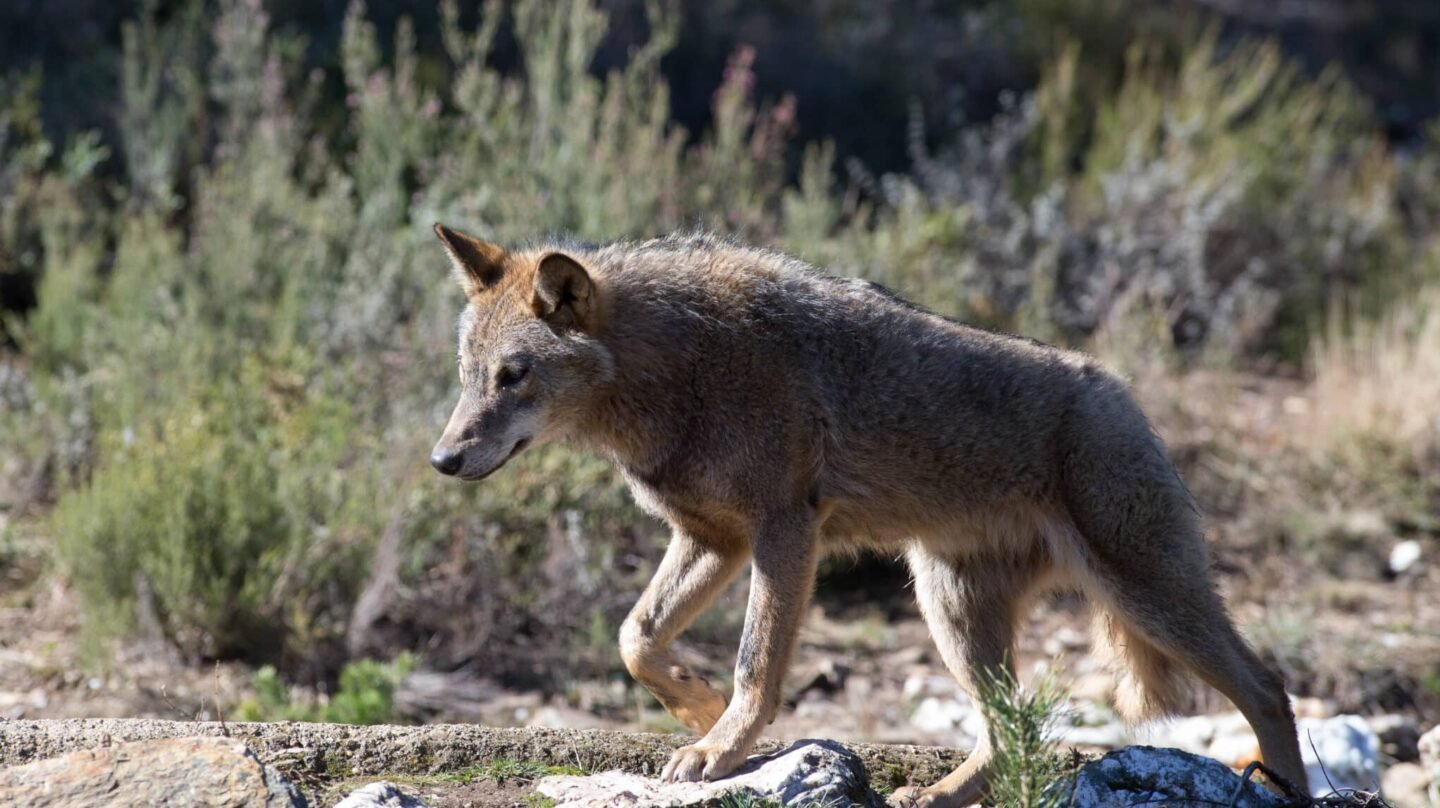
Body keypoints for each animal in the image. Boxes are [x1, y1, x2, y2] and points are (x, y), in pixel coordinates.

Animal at [423, 223, 1307, 800]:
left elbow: (755, 665)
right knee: (1011, 725)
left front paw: (722, 746)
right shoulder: (711, 538)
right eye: (468, 376)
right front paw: (697, 710)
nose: (442, 459)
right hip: (952, 613)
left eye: (514, 376)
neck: (678, 367)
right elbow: (635, 637)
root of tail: (1122, 391)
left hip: (1145, 598)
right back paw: (940, 796)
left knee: (1268, 687)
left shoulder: (784, 531)